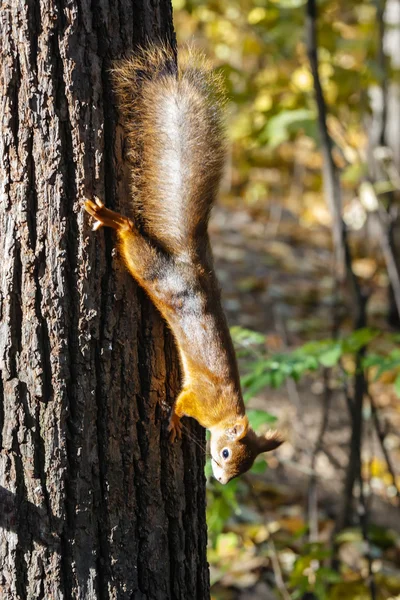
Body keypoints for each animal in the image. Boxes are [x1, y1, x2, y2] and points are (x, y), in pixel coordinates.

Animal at [85, 44, 284, 482]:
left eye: (244, 469)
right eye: (225, 453)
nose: (223, 479)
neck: (227, 413)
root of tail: (191, 262)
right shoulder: (199, 398)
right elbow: (180, 403)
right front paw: (175, 423)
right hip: (155, 274)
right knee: (134, 244)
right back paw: (115, 221)